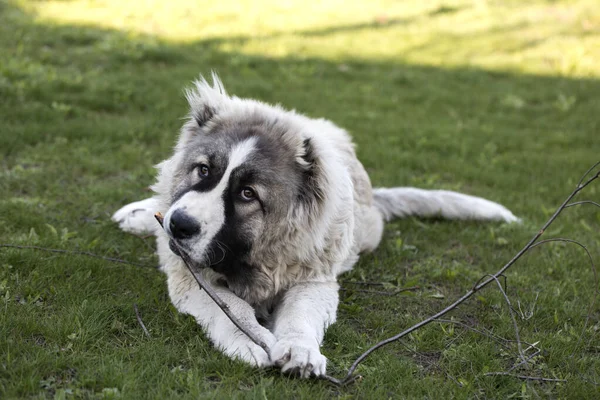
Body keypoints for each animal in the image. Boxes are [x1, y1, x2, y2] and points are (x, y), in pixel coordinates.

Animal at [113, 73, 520, 376]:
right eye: (202, 170)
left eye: (247, 194)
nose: (180, 226)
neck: (253, 257)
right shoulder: (189, 276)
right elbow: (231, 310)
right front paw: (251, 340)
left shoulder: (313, 279)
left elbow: (299, 316)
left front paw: (299, 350)